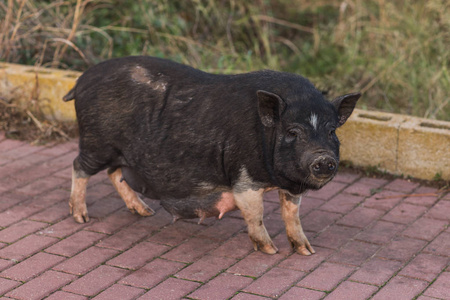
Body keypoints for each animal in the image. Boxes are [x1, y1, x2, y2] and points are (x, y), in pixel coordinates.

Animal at [63, 55, 360, 254]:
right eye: (293, 131)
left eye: (331, 131)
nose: (323, 159)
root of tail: (82, 79)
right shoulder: (244, 180)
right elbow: (256, 214)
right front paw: (270, 250)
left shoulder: (290, 185)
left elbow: (292, 215)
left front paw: (307, 251)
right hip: (96, 142)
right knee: (79, 166)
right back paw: (81, 217)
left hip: (118, 152)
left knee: (114, 173)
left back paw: (145, 212)